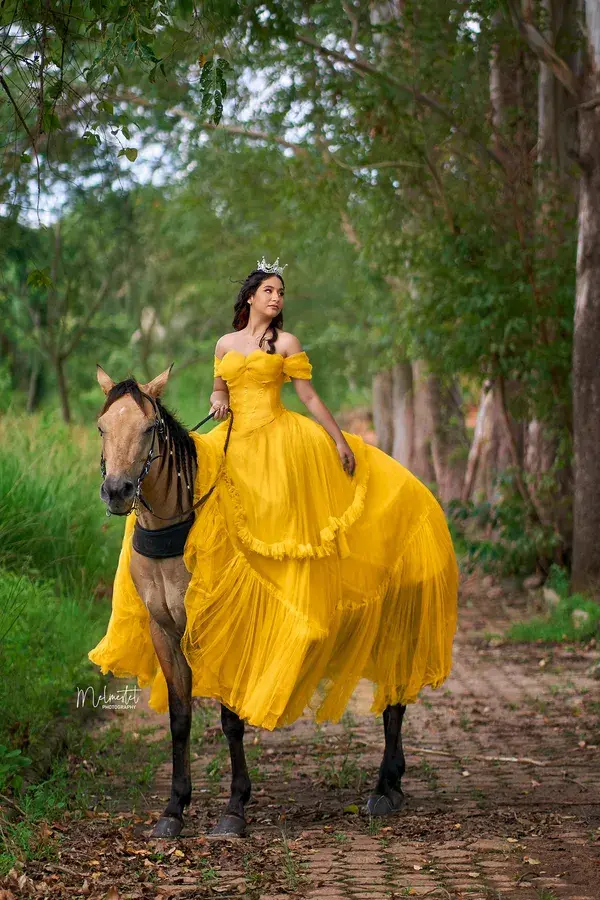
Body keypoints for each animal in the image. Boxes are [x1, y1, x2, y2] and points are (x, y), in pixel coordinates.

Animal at [97, 364, 408, 836]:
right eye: (101, 427)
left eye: (150, 428)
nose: (117, 491)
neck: (180, 529)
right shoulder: (163, 630)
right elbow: (179, 719)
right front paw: (173, 809)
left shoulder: (226, 625)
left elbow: (230, 719)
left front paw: (234, 807)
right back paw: (394, 782)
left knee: (395, 699)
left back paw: (385, 788)